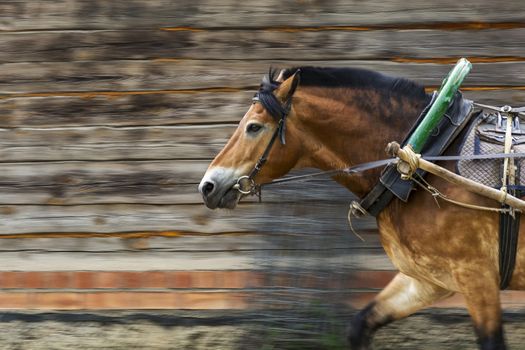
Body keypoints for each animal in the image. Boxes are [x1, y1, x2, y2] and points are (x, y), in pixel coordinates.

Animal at [196, 66, 520, 350]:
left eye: (253, 127)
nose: (207, 186)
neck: (426, 156)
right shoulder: (427, 280)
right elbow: (360, 326)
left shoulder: (476, 275)